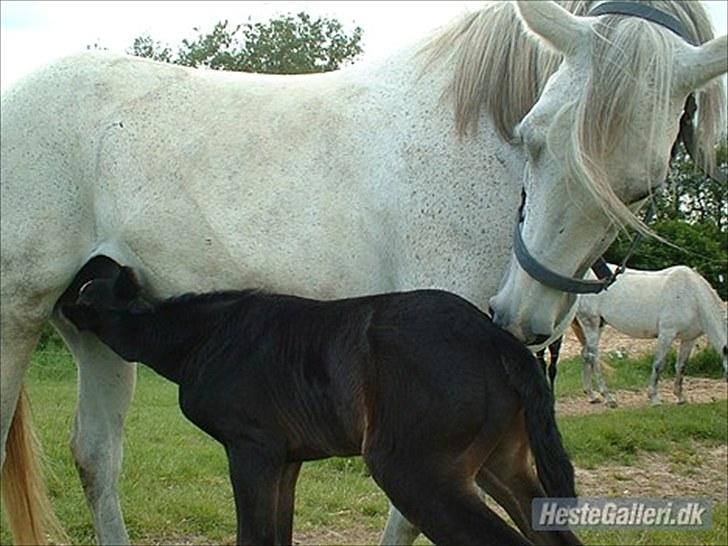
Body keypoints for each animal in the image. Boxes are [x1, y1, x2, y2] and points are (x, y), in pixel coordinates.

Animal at [61, 264, 580, 544]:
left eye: (84, 296)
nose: (59, 303)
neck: (204, 338)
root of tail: (498, 342)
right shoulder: (287, 460)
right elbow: (278, 535)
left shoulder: (252, 448)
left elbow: (254, 536)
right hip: (502, 463)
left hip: (416, 470)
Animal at [576, 264, 728, 404]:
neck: (693, 296)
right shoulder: (666, 334)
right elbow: (658, 364)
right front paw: (654, 398)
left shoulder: (689, 339)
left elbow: (681, 366)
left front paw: (680, 397)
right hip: (591, 323)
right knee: (593, 357)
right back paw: (608, 397)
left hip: (599, 325)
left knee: (585, 354)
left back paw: (592, 395)